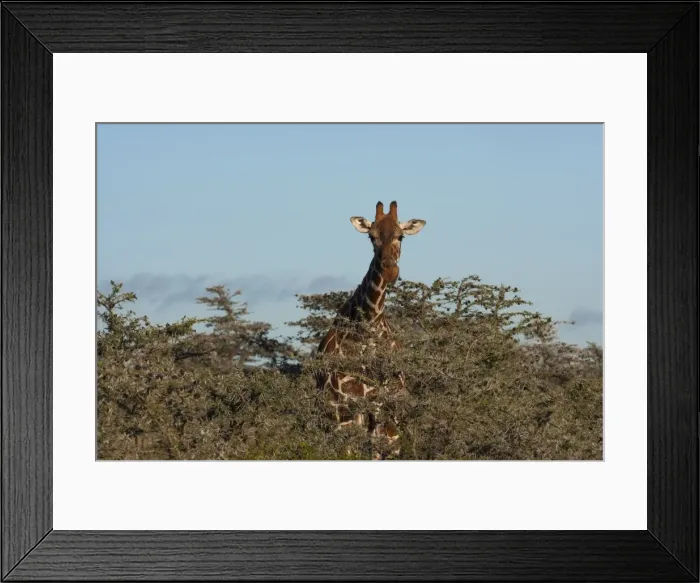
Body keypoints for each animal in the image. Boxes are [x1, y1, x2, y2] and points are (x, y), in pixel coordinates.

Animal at [315, 200, 425, 459]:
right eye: (371, 237)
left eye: (401, 236)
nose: (389, 271)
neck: (369, 328)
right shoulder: (345, 404)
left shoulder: (383, 405)